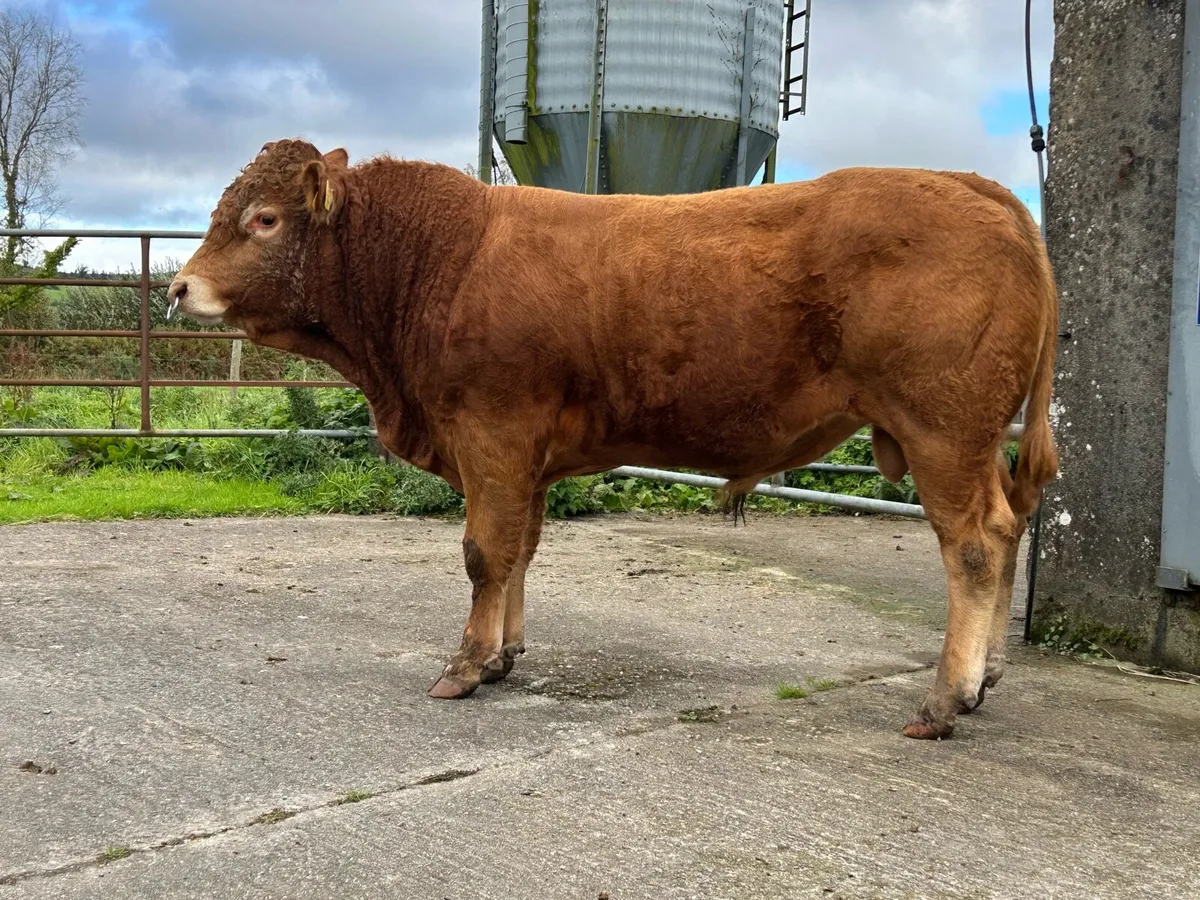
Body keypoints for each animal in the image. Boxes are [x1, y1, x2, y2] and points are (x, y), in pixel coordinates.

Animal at [167, 138, 1059, 741]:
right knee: (1010, 526)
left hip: (944, 430)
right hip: (978, 438)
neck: (438, 261)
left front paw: (464, 666)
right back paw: (989, 673)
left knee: (975, 544)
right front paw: (503, 655)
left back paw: (945, 700)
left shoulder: (491, 434)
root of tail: (972, 184)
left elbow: (483, 553)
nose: (178, 287)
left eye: (263, 218)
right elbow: (518, 553)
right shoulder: (523, 460)